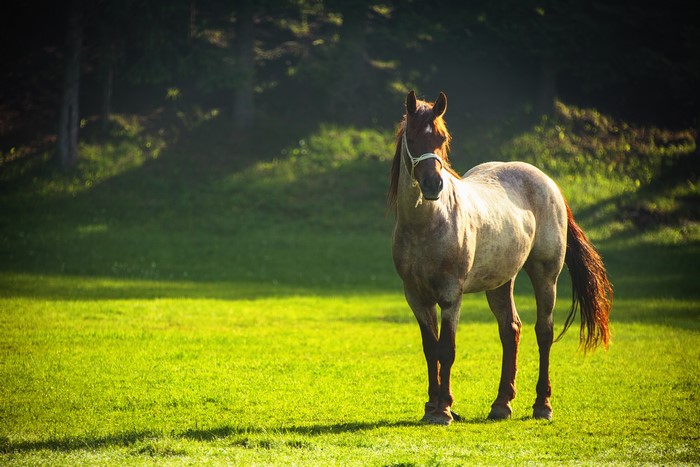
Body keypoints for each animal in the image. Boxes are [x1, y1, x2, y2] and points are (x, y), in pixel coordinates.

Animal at [388, 90, 612, 425]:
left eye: (442, 138)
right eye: (412, 138)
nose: (433, 185)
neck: (427, 225)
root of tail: (548, 182)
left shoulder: (451, 296)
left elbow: (446, 349)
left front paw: (443, 410)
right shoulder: (415, 296)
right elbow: (430, 349)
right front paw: (432, 406)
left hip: (546, 275)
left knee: (543, 332)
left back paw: (542, 405)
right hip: (499, 282)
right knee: (511, 330)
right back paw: (501, 404)